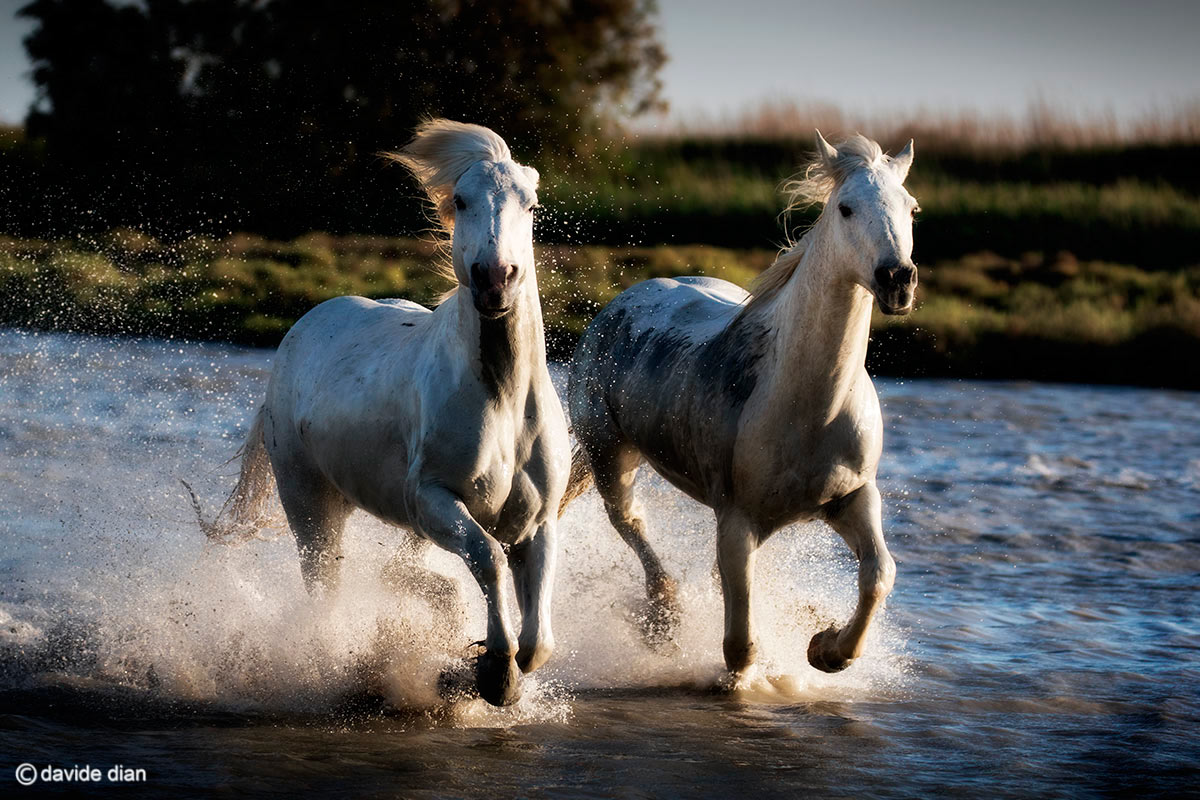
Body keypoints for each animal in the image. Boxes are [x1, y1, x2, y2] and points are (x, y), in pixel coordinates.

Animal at [191, 119, 569, 706]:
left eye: (531, 204)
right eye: (461, 200)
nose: (494, 279)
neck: (503, 400)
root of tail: (301, 329)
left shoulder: (539, 521)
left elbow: (538, 643)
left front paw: (471, 668)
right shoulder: (435, 496)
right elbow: (488, 558)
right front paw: (490, 672)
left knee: (396, 572)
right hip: (311, 506)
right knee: (324, 590)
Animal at [563, 131, 917, 677]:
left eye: (912, 208)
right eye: (846, 208)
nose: (897, 279)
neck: (808, 407)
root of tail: (621, 302)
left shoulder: (853, 498)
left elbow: (880, 573)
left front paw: (825, 648)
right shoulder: (735, 519)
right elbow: (740, 646)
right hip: (610, 455)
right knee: (630, 520)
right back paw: (663, 616)